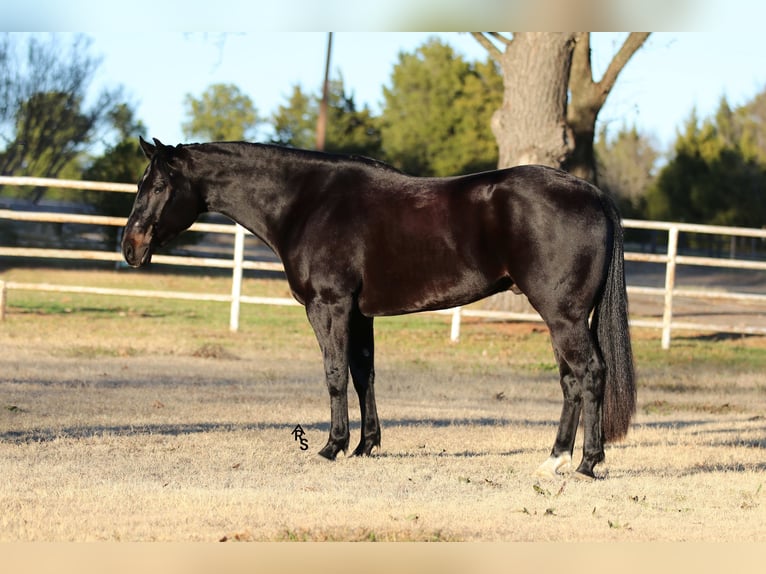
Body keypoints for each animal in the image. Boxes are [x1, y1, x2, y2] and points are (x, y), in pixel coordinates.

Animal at [124, 137, 636, 480]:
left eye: (158, 185)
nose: (131, 247)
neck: (308, 202)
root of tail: (592, 194)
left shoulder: (328, 306)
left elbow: (334, 374)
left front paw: (332, 447)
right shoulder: (360, 313)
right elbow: (362, 374)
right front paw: (365, 447)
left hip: (564, 317)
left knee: (590, 374)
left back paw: (587, 464)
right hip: (562, 318)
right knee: (570, 381)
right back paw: (555, 459)